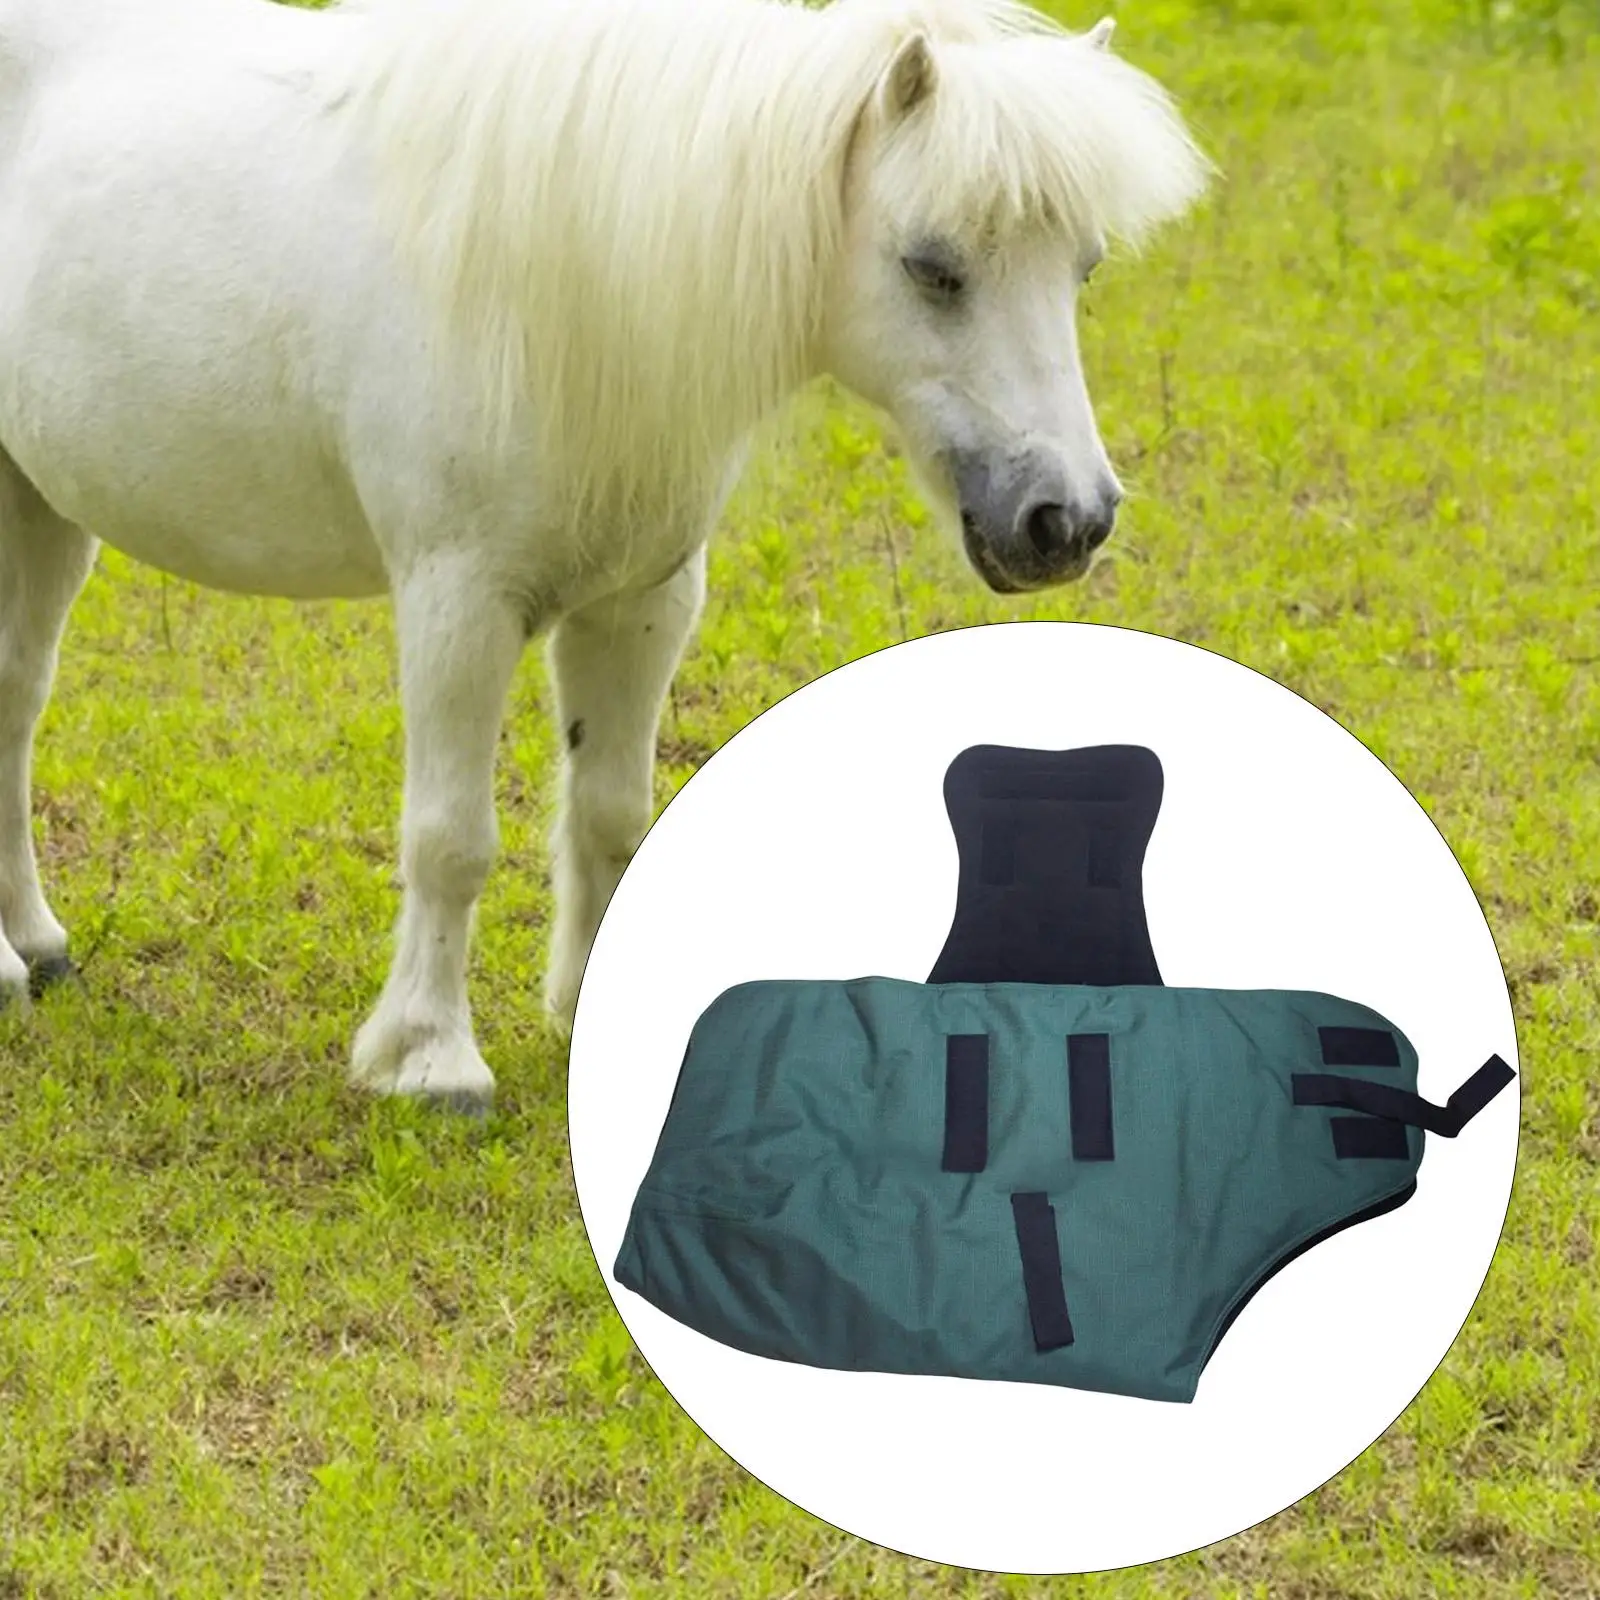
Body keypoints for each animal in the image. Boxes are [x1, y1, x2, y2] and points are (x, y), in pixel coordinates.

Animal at [0, 0, 1206, 1108]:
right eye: (932, 266)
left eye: (1084, 268)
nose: (1065, 519)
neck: (569, 272)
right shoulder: (457, 602)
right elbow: (451, 838)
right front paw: (429, 1062)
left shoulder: (641, 600)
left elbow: (611, 812)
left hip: (42, 505)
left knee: (15, 707)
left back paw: (33, 946)